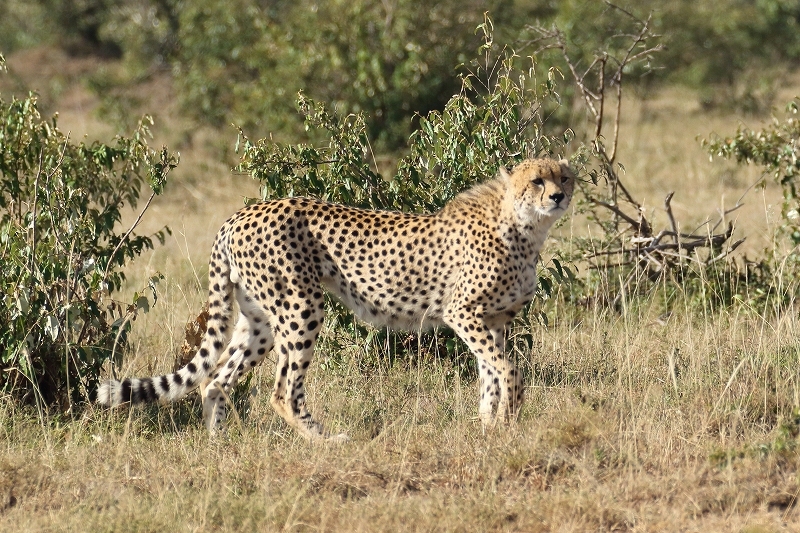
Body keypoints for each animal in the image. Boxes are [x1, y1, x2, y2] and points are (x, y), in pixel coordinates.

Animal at [98, 158, 576, 440]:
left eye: (564, 177)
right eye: (537, 180)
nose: (558, 196)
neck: (523, 226)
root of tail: (240, 214)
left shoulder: (494, 321)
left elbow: (490, 373)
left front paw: (490, 426)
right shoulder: (463, 313)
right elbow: (508, 369)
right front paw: (507, 421)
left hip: (259, 320)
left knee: (215, 379)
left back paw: (219, 445)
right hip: (301, 306)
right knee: (282, 390)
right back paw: (325, 440)